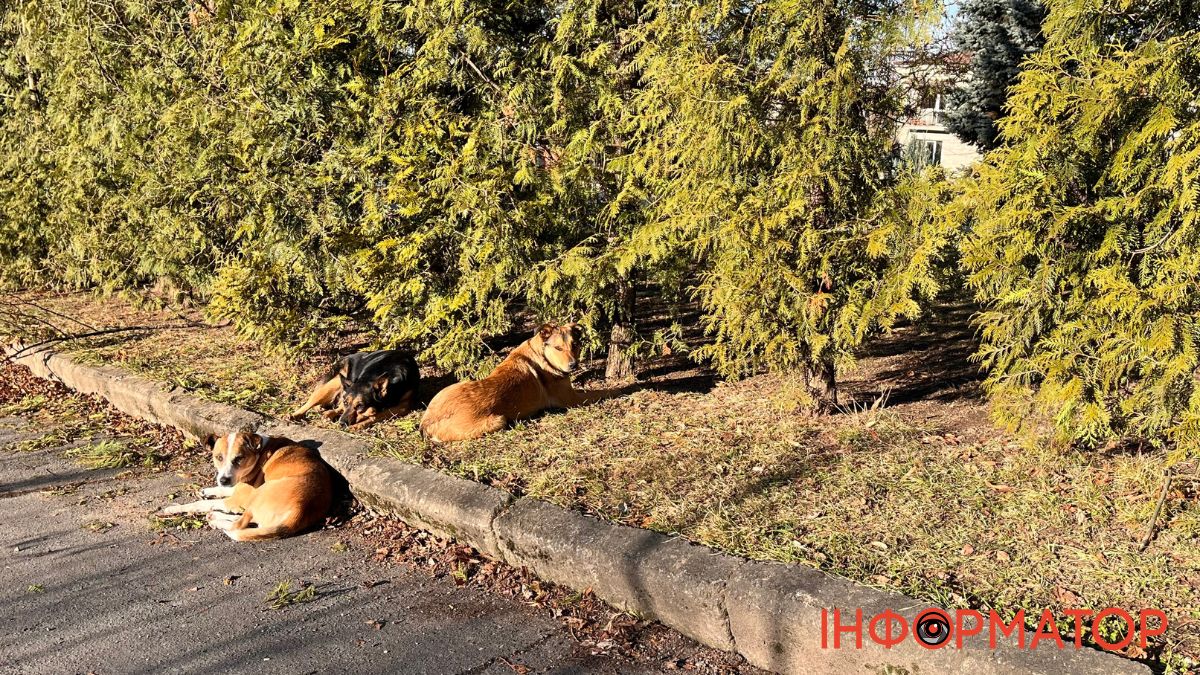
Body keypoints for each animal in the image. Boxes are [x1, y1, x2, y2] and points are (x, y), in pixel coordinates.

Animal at [158, 429, 333, 540]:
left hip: (258, 494)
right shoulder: (236, 488)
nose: (224, 480)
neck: (259, 452)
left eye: (239, 458)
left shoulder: (238, 498)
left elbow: (201, 504)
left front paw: (174, 509)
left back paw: (215, 519)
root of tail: (301, 510)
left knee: (238, 525)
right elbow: (220, 491)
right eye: (218, 457)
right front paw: (207, 490)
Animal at [290, 348, 422, 427]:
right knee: (311, 403)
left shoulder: (403, 407)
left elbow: (374, 416)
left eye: (360, 406)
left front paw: (358, 425)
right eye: (347, 403)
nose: (341, 423)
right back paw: (295, 415)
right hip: (335, 382)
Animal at [422, 319, 604, 441]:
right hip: (498, 420)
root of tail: (427, 421)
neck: (541, 354)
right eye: (558, 348)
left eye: (575, 345)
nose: (574, 365)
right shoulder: (572, 399)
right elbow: (605, 391)